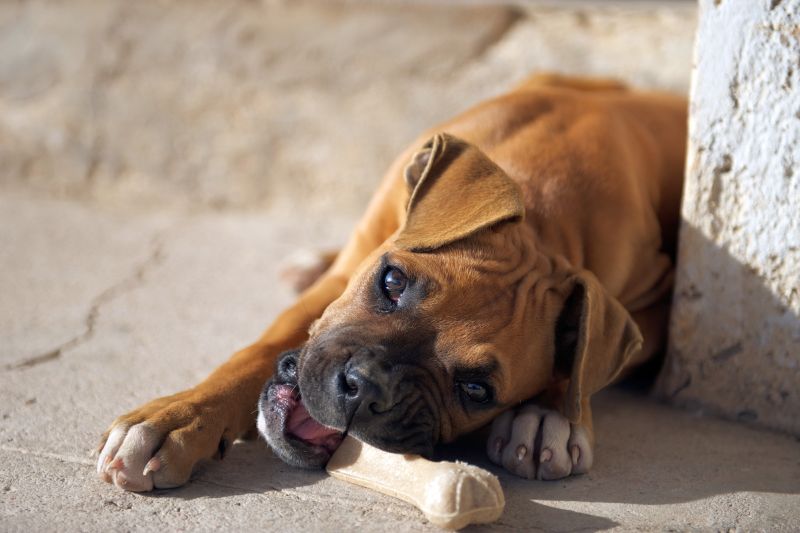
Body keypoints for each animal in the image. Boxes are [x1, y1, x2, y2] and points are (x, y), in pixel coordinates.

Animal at [97, 74, 684, 490]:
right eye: (392, 281)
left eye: (476, 390)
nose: (363, 389)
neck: (546, 210)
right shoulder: (347, 273)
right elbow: (257, 351)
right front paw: (176, 418)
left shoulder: (656, 303)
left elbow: (584, 362)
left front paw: (547, 416)